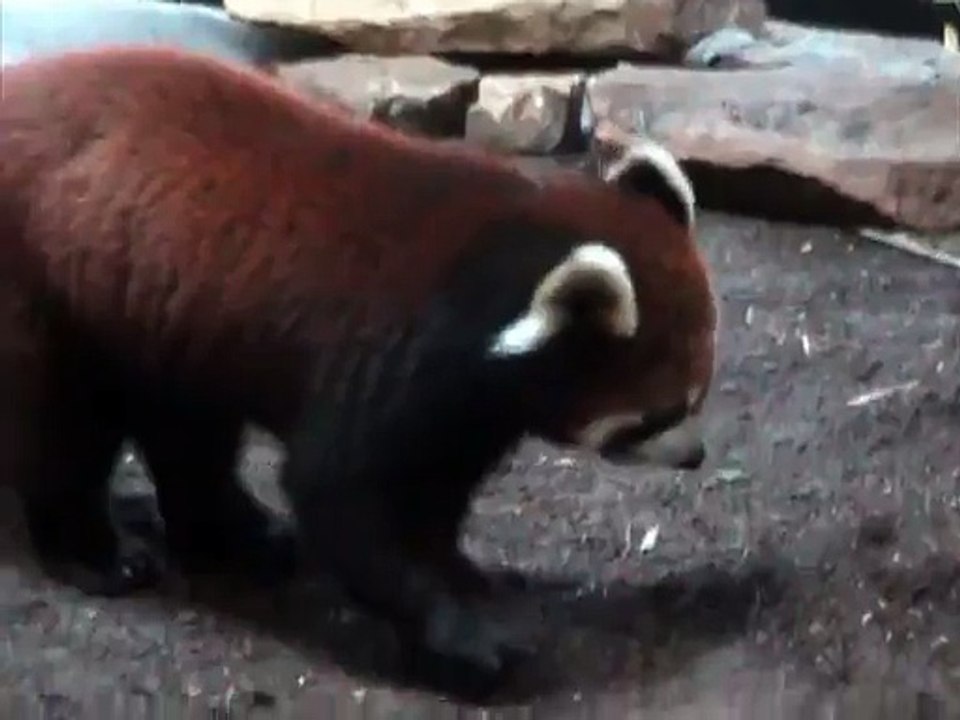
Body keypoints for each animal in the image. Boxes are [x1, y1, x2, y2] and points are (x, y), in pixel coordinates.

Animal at [0, 45, 717, 681]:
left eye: (699, 396)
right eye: (659, 413)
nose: (696, 456)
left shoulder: (468, 411)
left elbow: (432, 499)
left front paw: (464, 577)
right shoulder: (390, 356)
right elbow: (343, 497)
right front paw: (461, 631)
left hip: (163, 310)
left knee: (189, 432)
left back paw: (235, 537)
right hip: (46, 287)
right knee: (66, 428)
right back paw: (97, 554)